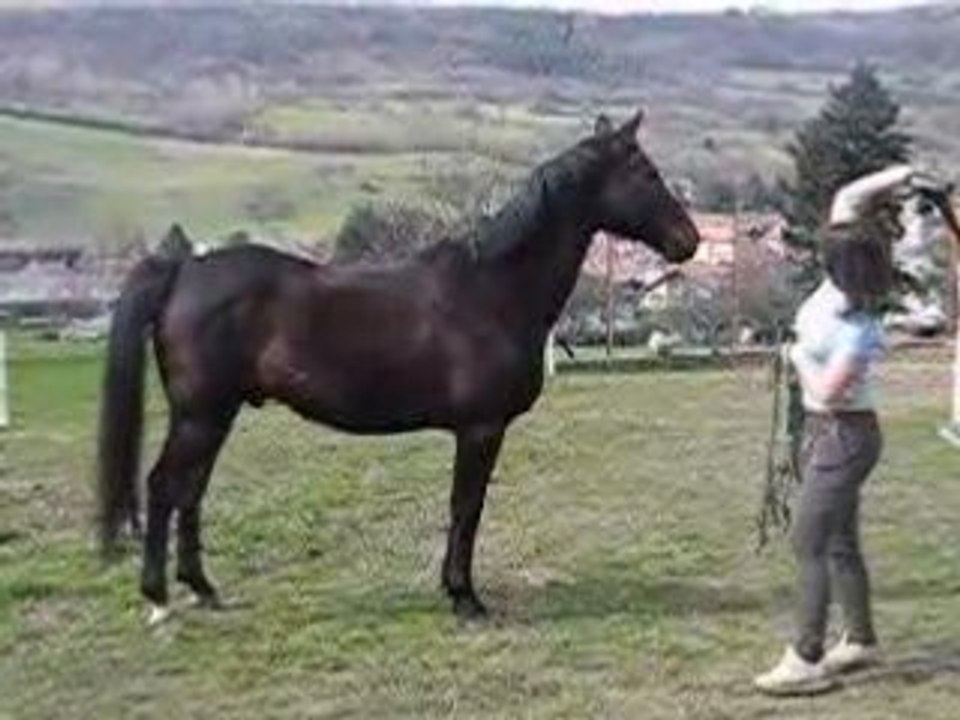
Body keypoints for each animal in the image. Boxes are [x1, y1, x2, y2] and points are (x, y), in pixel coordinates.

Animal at [97, 110, 701, 624]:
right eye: (646, 173)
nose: (689, 242)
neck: (493, 290)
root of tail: (183, 271)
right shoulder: (480, 429)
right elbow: (466, 508)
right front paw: (465, 598)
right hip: (200, 416)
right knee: (164, 487)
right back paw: (158, 599)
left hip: (215, 415)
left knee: (190, 491)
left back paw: (202, 588)